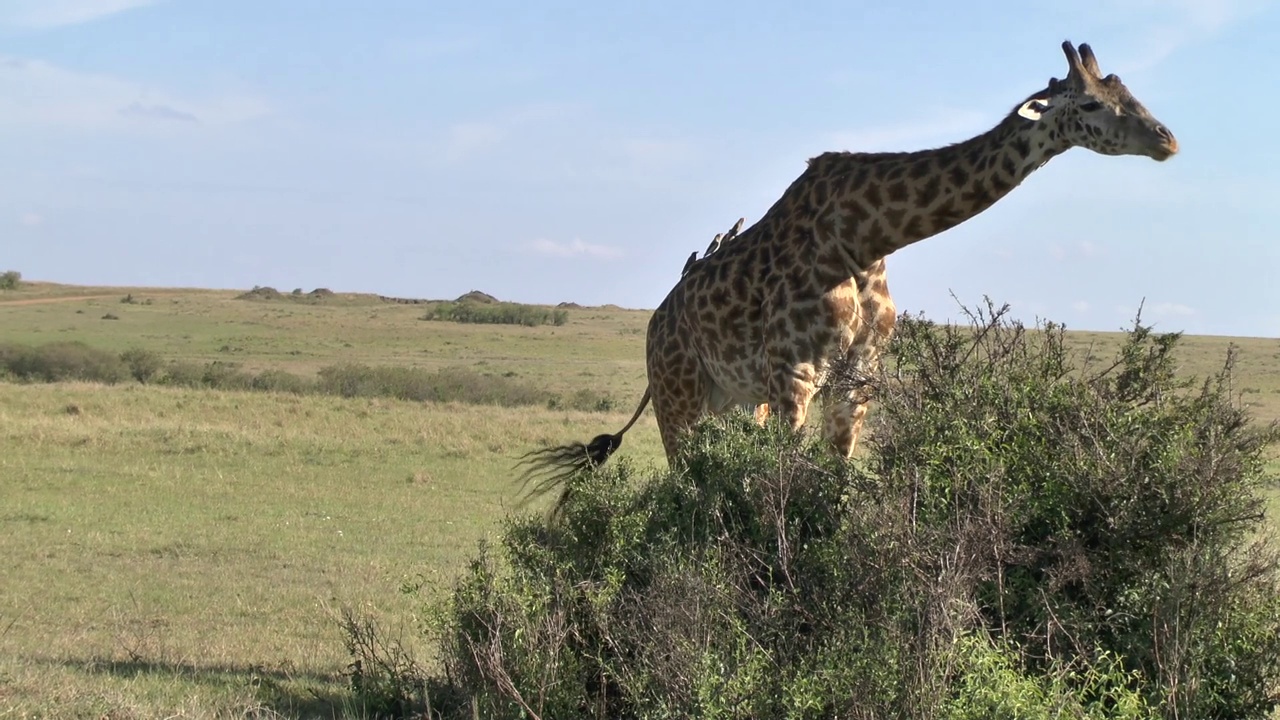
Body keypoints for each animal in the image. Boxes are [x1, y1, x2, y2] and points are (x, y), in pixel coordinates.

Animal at [522, 40, 1177, 491]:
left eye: (1130, 93)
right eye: (1091, 102)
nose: (1166, 139)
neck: (865, 236)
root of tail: (655, 324)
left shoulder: (854, 379)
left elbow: (833, 486)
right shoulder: (795, 375)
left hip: (735, 400)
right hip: (679, 396)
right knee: (682, 480)